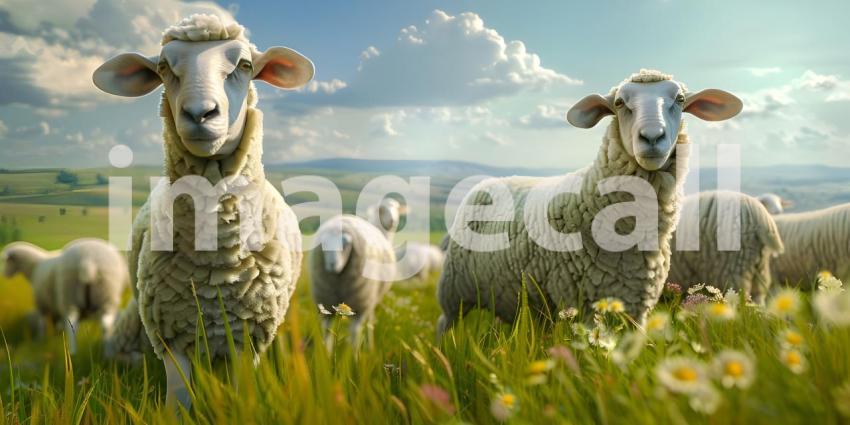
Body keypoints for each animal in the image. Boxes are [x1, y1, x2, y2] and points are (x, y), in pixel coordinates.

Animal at [92, 14, 313, 409]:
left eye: (245, 65)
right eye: (164, 67)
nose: (199, 113)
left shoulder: (249, 334)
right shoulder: (169, 330)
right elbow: (178, 400)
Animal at [309, 215, 395, 349]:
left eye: (346, 245)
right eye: (324, 245)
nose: (332, 264)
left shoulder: (360, 307)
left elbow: (355, 332)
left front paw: (354, 353)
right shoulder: (326, 306)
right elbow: (327, 332)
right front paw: (326, 353)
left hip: (370, 301)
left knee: (369, 323)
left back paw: (370, 347)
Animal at [436, 70, 742, 335]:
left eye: (679, 100)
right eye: (619, 103)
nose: (652, 137)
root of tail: (484, 183)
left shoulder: (638, 303)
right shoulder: (583, 302)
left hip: (515, 295)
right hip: (455, 290)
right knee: (445, 322)